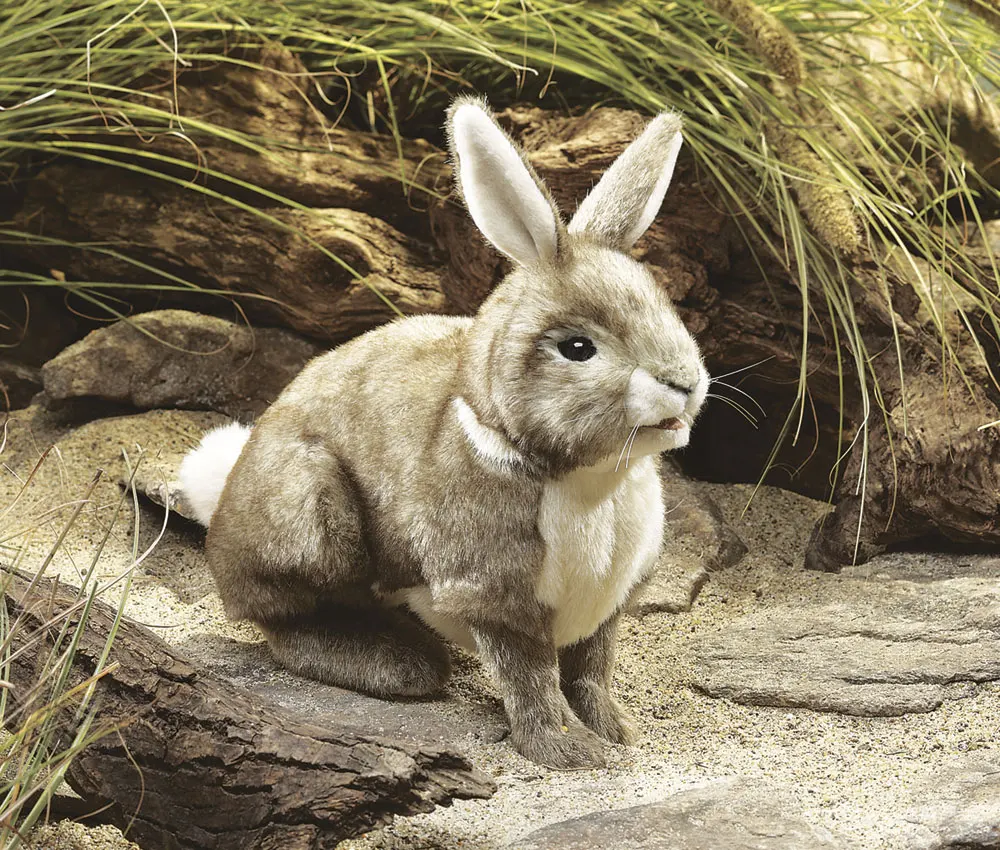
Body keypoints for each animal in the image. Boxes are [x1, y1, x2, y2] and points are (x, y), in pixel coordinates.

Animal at [178, 96, 709, 769]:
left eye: (667, 307)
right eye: (577, 348)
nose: (685, 383)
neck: (593, 480)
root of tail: (222, 503)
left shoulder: (607, 604)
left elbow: (591, 671)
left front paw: (617, 732)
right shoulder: (495, 595)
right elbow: (532, 680)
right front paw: (570, 753)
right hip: (313, 515)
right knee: (282, 622)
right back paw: (397, 664)